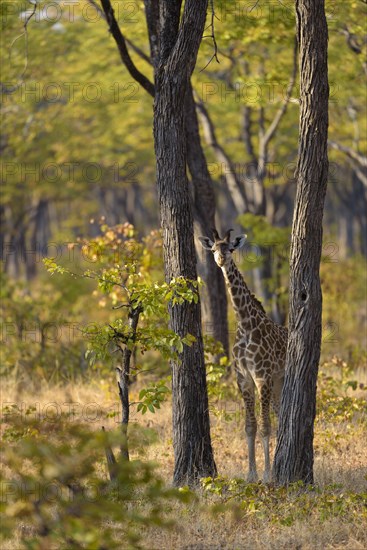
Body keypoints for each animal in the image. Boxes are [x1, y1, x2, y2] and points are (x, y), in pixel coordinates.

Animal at [200, 229, 288, 484]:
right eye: (213, 249)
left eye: (230, 248)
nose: (221, 260)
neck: (246, 325)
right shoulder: (244, 379)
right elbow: (251, 426)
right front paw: (251, 474)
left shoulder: (262, 377)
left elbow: (265, 425)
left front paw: (267, 474)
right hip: (277, 382)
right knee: (280, 414)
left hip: (279, 378)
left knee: (279, 417)